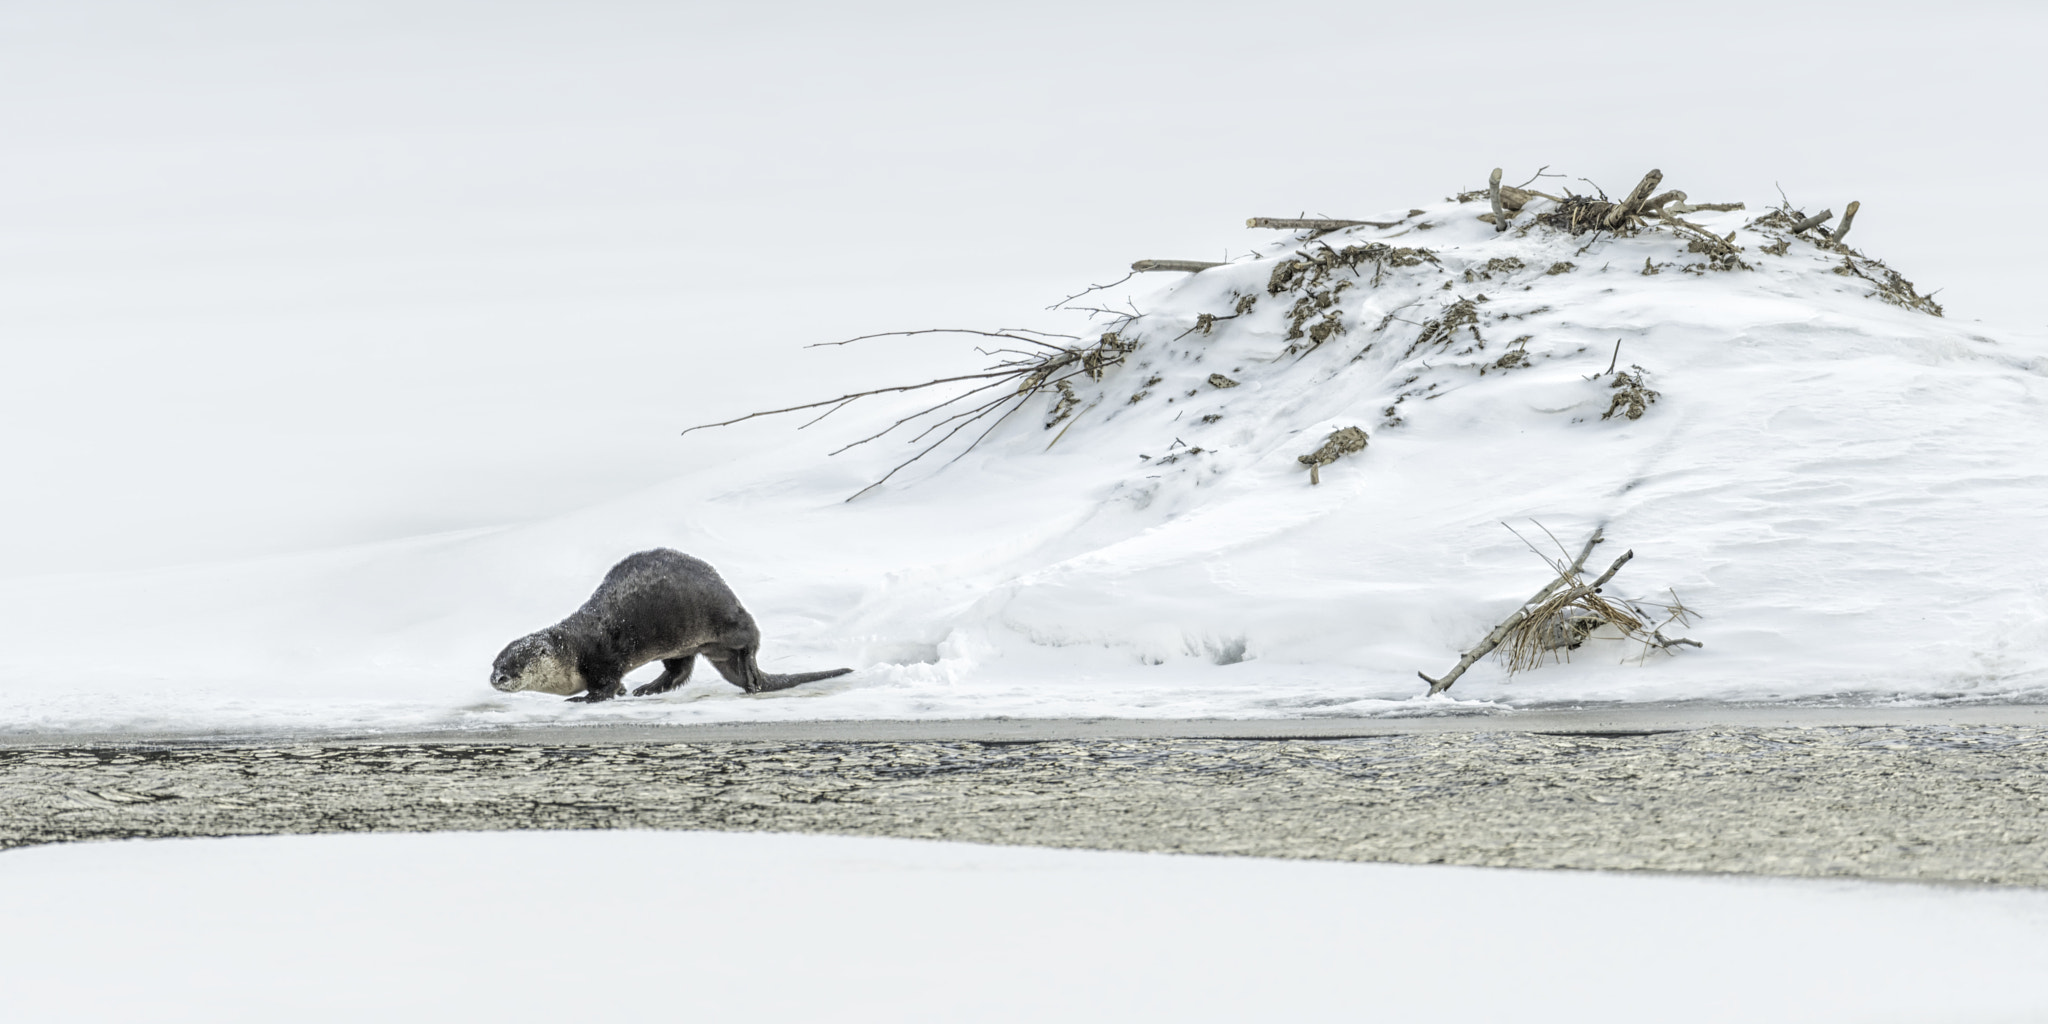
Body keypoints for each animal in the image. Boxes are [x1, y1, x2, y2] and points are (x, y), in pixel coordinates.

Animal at [487, 552, 847, 704]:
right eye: (494, 664)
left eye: (516, 664)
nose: (496, 679)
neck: (572, 653)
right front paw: (622, 691)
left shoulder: (602, 658)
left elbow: (605, 684)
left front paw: (586, 699)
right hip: (686, 644)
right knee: (680, 670)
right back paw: (648, 688)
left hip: (724, 619)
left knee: (750, 640)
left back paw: (752, 674)